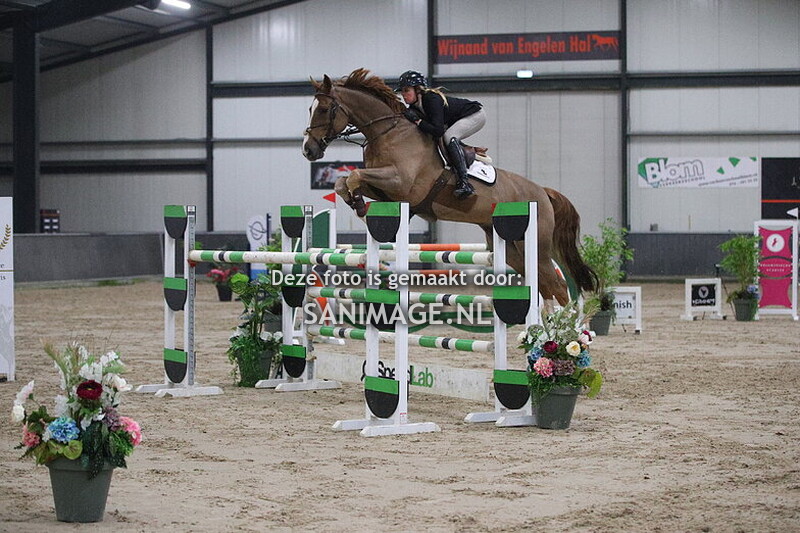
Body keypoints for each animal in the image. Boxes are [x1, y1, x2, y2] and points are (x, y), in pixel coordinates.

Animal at [302, 68, 596, 306]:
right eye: (310, 109)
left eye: (324, 109)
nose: (308, 150)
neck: (388, 132)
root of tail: (543, 192)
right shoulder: (383, 187)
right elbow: (344, 181)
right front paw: (358, 203)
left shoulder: (399, 181)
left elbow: (353, 176)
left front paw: (360, 208)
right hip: (512, 249)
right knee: (545, 288)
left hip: (535, 245)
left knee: (557, 288)